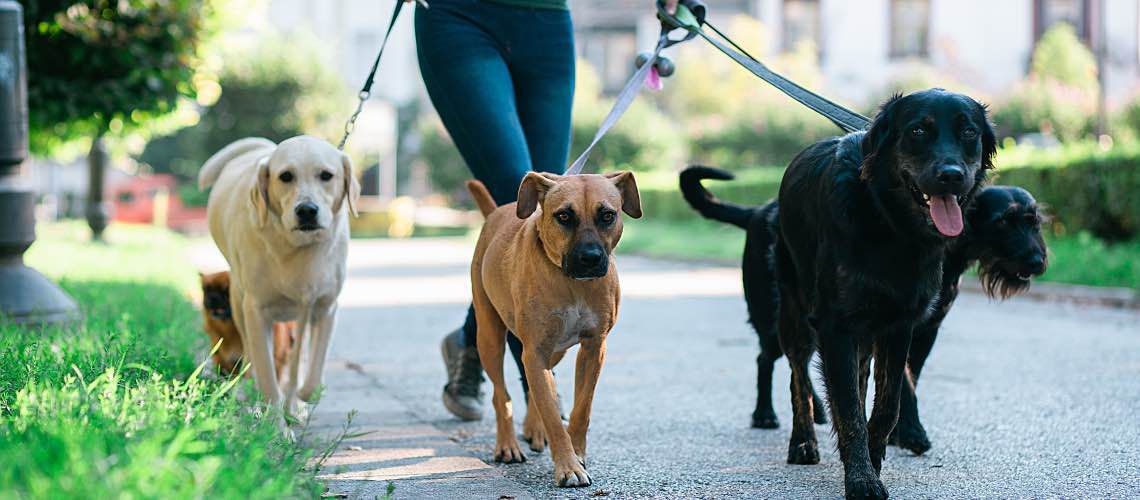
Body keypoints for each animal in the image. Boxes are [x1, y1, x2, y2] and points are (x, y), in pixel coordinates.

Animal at [196, 134, 355, 428]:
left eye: (326, 175)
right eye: (286, 176)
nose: (307, 210)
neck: (297, 248)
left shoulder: (324, 308)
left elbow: (310, 376)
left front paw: (301, 399)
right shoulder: (257, 312)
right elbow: (268, 379)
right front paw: (277, 429)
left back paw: (294, 405)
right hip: (239, 304)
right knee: (251, 358)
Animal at [465, 173, 642, 489]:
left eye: (608, 215)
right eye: (564, 216)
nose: (590, 258)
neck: (572, 283)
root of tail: (496, 212)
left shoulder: (593, 348)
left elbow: (581, 408)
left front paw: (577, 452)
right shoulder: (535, 351)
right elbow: (550, 412)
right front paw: (568, 466)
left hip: (555, 351)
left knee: (537, 385)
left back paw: (533, 429)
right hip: (489, 337)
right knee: (501, 395)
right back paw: (507, 445)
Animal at [679, 167, 1044, 453]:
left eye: (1034, 221)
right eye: (1003, 222)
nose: (1038, 261)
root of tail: (757, 212)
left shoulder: (925, 329)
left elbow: (906, 380)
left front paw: (898, 431)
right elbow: (905, 383)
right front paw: (911, 433)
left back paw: (817, 409)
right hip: (773, 314)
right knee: (768, 359)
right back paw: (765, 413)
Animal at [779, 91, 994, 500]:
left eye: (969, 132)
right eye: (918, 131)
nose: (952, 175)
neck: (890, 224)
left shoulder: (899, 326)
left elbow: (886, 404)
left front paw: (872, 460)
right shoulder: (836, 327)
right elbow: (848, 409)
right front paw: (862, 479)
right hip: (796, 316)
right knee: (799, 378)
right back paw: (802, 443)